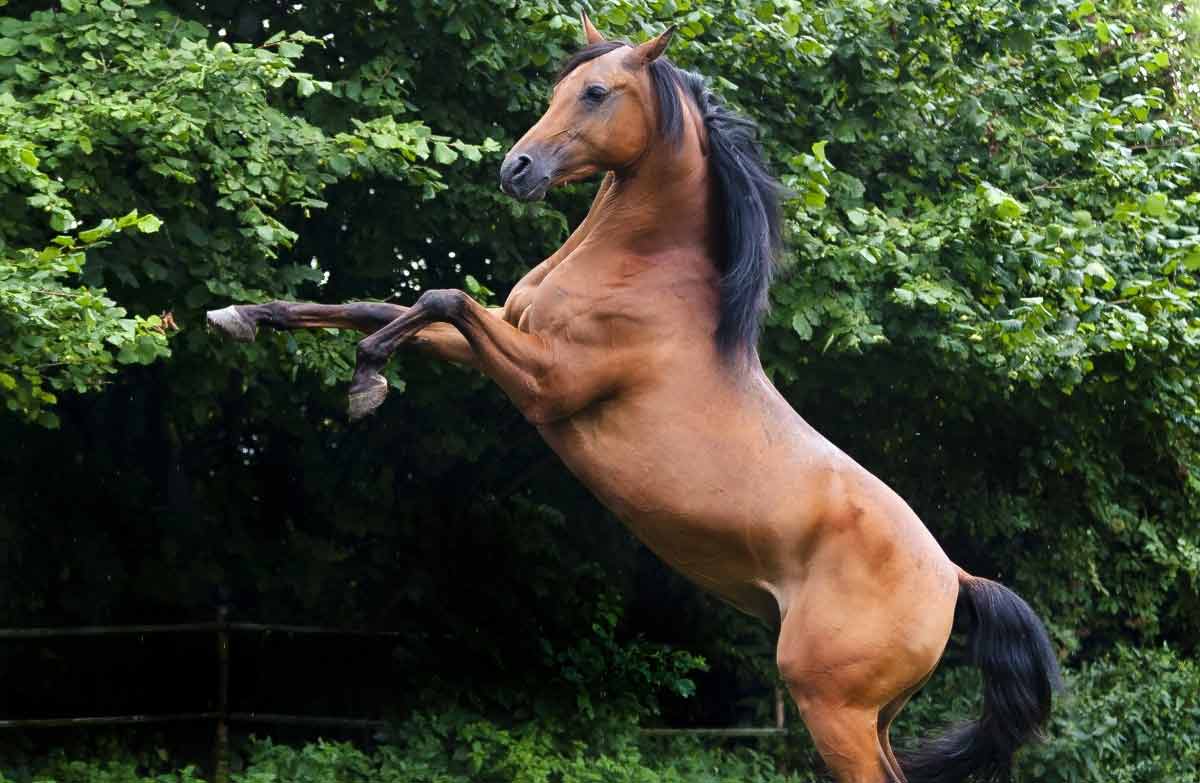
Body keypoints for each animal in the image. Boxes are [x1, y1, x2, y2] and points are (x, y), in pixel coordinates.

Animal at [207, 14, 1060, 783]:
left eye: (595, 92)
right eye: (556, 88)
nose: (516, 168)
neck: (641, 273)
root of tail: (954, 577)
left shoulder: (545, 382)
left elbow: (436, 296)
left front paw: (365, 384)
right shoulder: (500, 339)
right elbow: (381, 305)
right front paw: (243, 315)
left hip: (833, 708)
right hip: (869, 716)